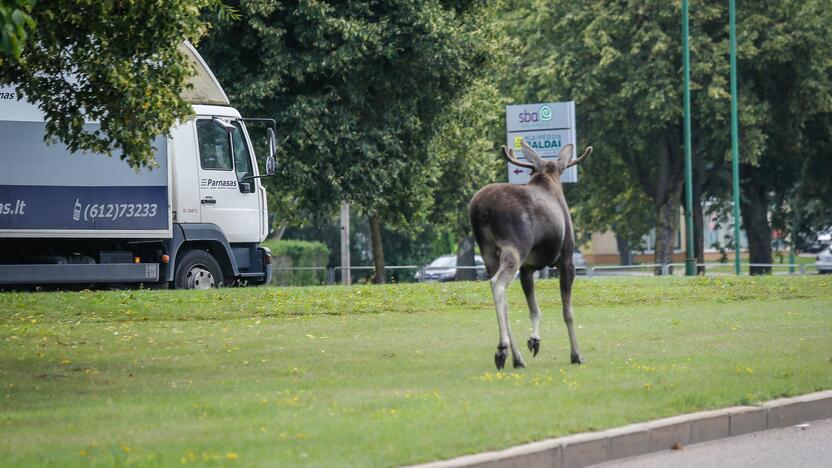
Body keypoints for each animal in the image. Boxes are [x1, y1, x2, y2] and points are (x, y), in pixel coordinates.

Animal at [468, 139, 592, 370]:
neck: (549, 177)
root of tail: (480, 210)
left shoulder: (527, 268)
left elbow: (534, 308)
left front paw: (534, 340)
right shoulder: (566, 259)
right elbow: (568, 311)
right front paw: (576, 354)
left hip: (487, 251)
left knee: (503, 297)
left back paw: (517, 357)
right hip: (516, 246)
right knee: (497, 284)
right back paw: (502, 349)